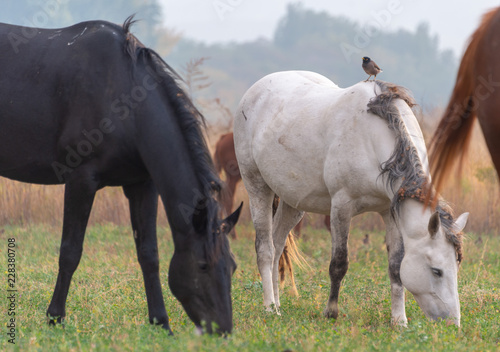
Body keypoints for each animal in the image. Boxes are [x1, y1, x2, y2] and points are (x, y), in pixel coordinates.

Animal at [0, 17, 242, 336]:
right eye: (203, 265)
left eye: (233, 267)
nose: (224, 330)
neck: (124, 99)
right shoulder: (81, 181)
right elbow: (70, 252)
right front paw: (55, 317)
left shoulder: (142, 185)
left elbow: (149, 254)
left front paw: (161, 322)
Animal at [234, 71, 468, 328]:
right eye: (436, 271)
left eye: (457, 265)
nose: (453, 323)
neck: (374, 137)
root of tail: (255, 90)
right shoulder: (341, 207)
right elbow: (339, 263)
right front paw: (331, 312)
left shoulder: (390, 212)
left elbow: (396, 266)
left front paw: (399, 320)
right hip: (257, 186)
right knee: (265, 249)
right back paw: (269, 307)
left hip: (293, 203)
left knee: (277, 247)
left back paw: (277, 305)